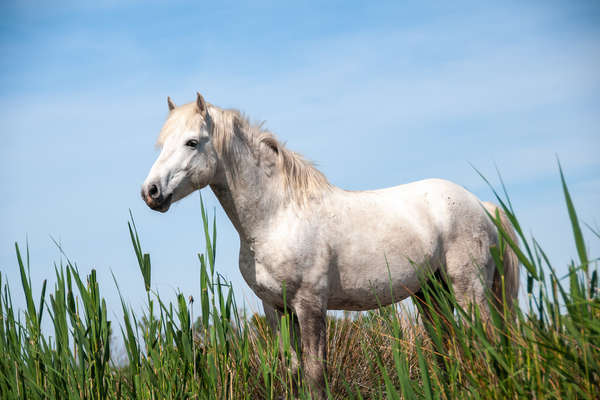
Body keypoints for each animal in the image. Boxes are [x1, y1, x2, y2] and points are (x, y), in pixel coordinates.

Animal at [143, 93, 516, 396]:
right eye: (161, 144)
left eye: (192, 142)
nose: (151, 192)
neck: (278, 216)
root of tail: (483, 206)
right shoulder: (276, 308)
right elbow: (291, 370)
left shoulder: (309, 305)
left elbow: (315, 373)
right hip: (431, 293)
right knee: (447, 348)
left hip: (469, 290)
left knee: (484, 344)